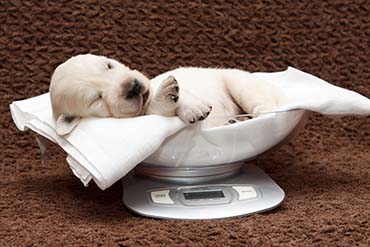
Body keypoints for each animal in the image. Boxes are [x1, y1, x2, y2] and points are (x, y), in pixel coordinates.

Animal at [49, 54, 284, 135]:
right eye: (96, 98)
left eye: (109, 65)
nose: (132, 87)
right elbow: (156, 109)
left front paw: (191, 105)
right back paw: (235, 121)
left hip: (237, 80)